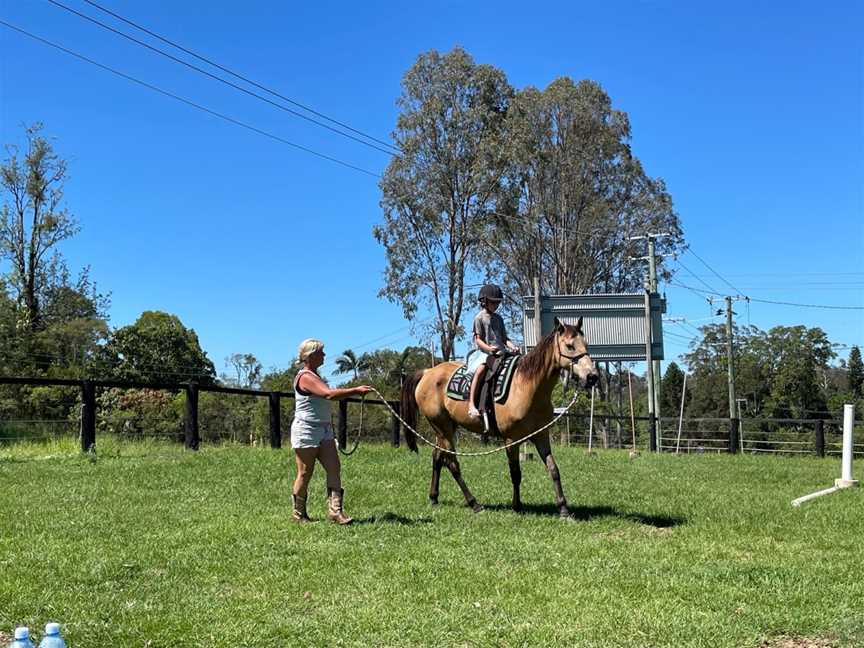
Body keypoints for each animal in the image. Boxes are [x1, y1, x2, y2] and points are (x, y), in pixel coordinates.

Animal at [400, 316, 596, 520]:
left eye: (585, 344)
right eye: (570, 346)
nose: (592, 377)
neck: (526, 387)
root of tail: (427, 373)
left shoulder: (541, 435)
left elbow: (553, 469)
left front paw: (563, 509)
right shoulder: (511, 440)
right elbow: (516, 473)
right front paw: (517, 506)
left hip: (446, 428)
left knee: (438, 458)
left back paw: (434, 498)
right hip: (442, 427)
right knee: (452, 464)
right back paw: (474, 503)